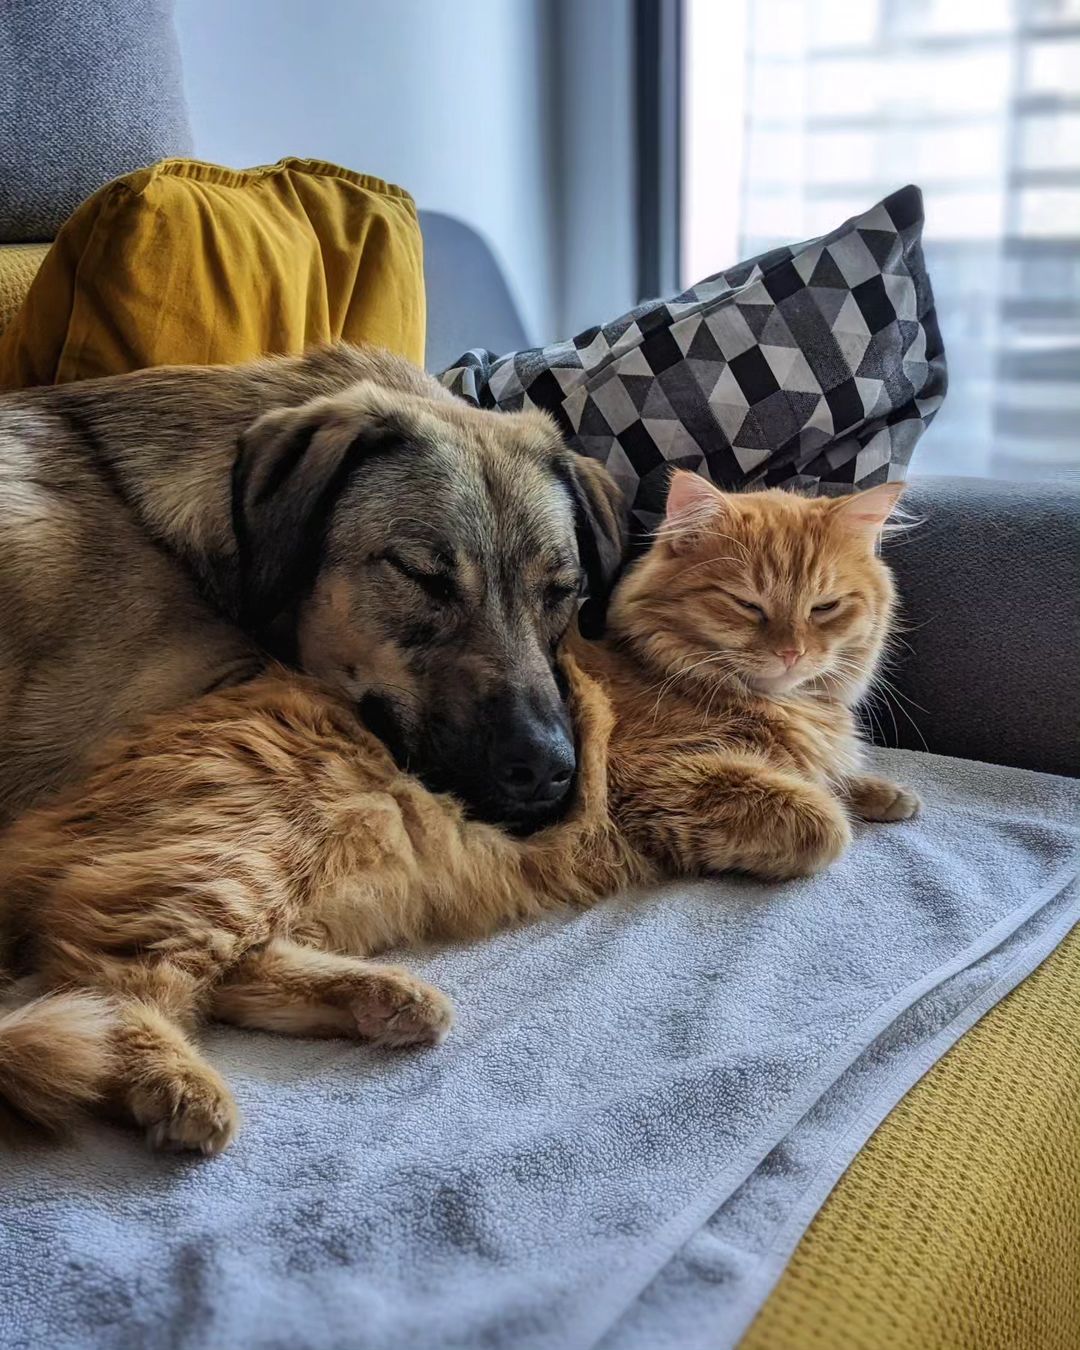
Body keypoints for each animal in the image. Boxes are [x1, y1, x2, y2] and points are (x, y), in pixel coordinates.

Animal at [0, 475, 918, 1150]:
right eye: (747, 606)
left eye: (827, 608)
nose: (791, 651)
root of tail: (40, 823)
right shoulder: (661, 780)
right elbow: (815, 821)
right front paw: (837, 804)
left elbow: (842, 778)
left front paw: (886, 792)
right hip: (229, 865)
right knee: (113, 987)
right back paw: (184, 1093)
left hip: (300, 886)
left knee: (233, 978)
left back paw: (393, 1004)